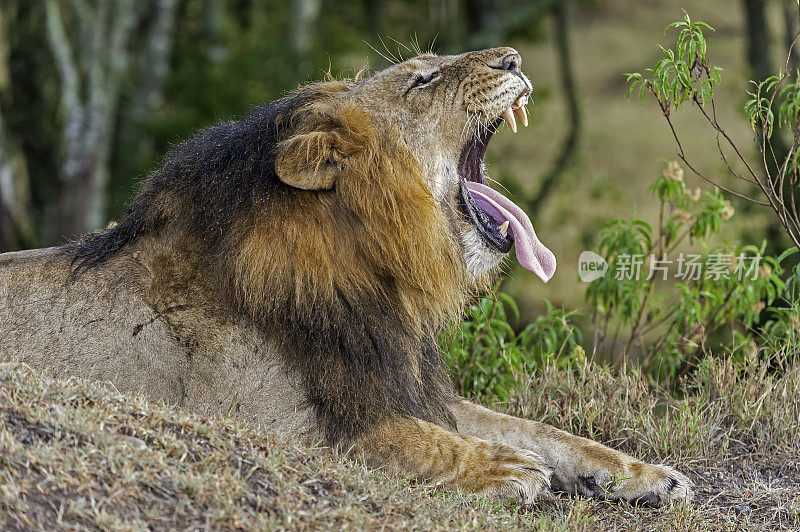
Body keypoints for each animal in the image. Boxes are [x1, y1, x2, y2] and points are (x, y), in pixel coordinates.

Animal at [0, 47, 692, 504]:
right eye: (423, 78)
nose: (514, 58)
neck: (368, 274)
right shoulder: (260, 418)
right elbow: (398, 441)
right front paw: (504, 469)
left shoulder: (396, 383)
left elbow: (535, 428)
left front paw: (644, 473)